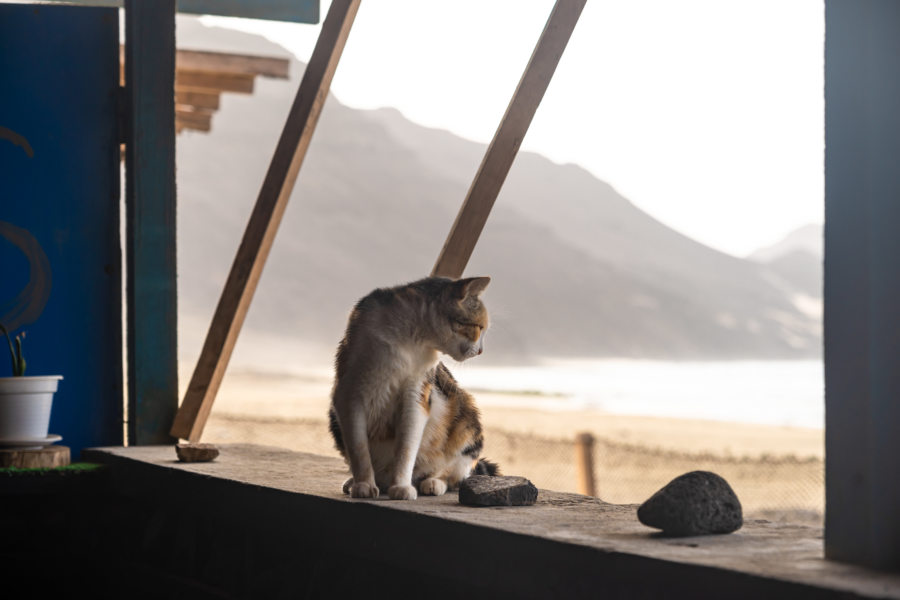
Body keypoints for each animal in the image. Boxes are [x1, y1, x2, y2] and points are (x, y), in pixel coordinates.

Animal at [330, 274, 500, 500]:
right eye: (479, 328)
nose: (481, 351)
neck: (408, 338)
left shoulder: (416, 395)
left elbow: (406, 448)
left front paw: (401, 486)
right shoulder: (349, 394)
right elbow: (359, 449)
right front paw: (364, 484)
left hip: (467, 418)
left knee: (455, 473)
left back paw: (432, 483)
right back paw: (359, 482)